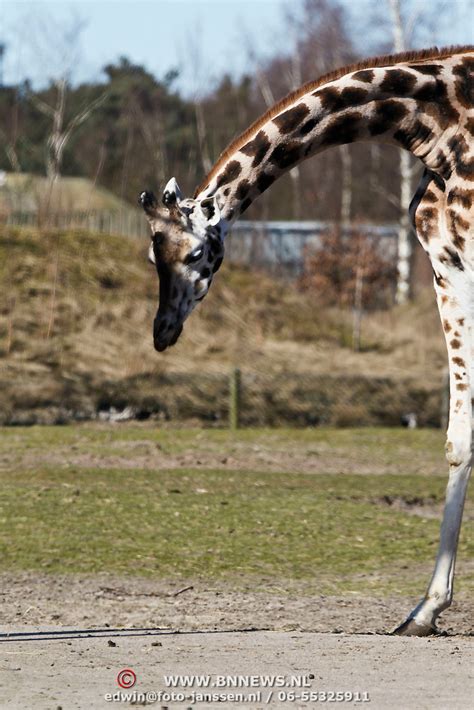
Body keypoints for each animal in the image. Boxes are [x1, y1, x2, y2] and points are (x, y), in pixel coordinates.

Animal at [139, 47, 472, 636]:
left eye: (197, 254)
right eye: (151, 256)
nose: (163, 331)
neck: (438, 126)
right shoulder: (447, 267)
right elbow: (459, 436)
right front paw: (425, 609)